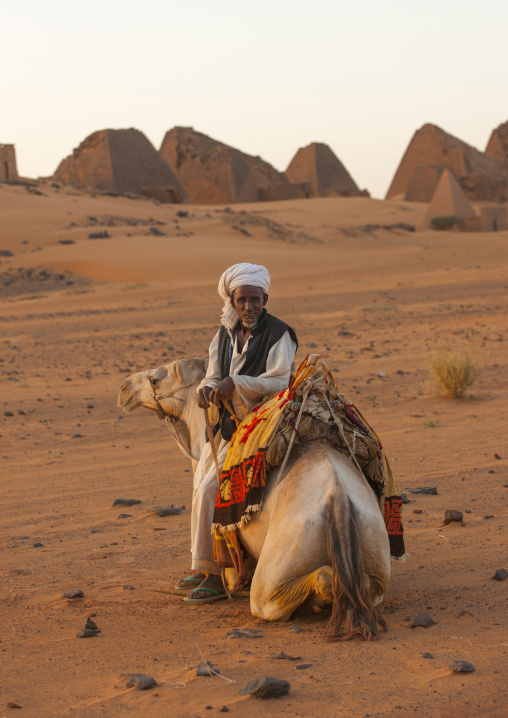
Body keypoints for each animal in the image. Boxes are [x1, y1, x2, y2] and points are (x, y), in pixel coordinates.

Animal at [117, 357, 391, 639]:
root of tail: (338, 500)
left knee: (279, 597)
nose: (124, 388)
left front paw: (205, 586)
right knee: (365, 586)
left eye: (156, 379)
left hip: (279, 562)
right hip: (373, 543)